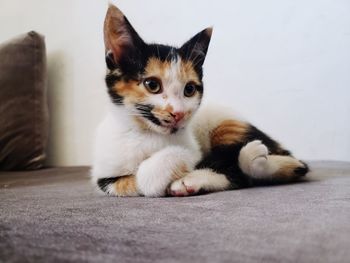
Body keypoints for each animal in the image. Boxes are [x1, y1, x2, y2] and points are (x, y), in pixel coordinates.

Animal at [91, 4, 308, 198]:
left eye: (189, 89)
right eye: (152, 85)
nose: (178, 113)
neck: (145, 133)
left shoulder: (193, 147)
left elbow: (187, 157)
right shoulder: (105, 177)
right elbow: (133, 181)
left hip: (226, 123)